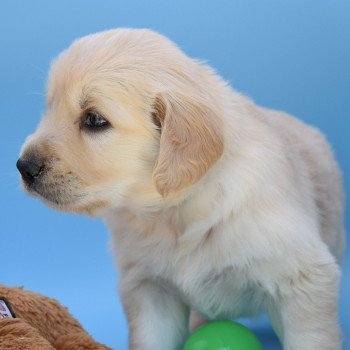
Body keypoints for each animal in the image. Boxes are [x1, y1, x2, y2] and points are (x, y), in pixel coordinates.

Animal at [17, 28, 344, 350]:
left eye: (95, 119)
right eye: (49, 108)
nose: (24, 166)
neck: (175, 211)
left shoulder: (303, 280)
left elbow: (311, 336)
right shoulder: (150, 289)